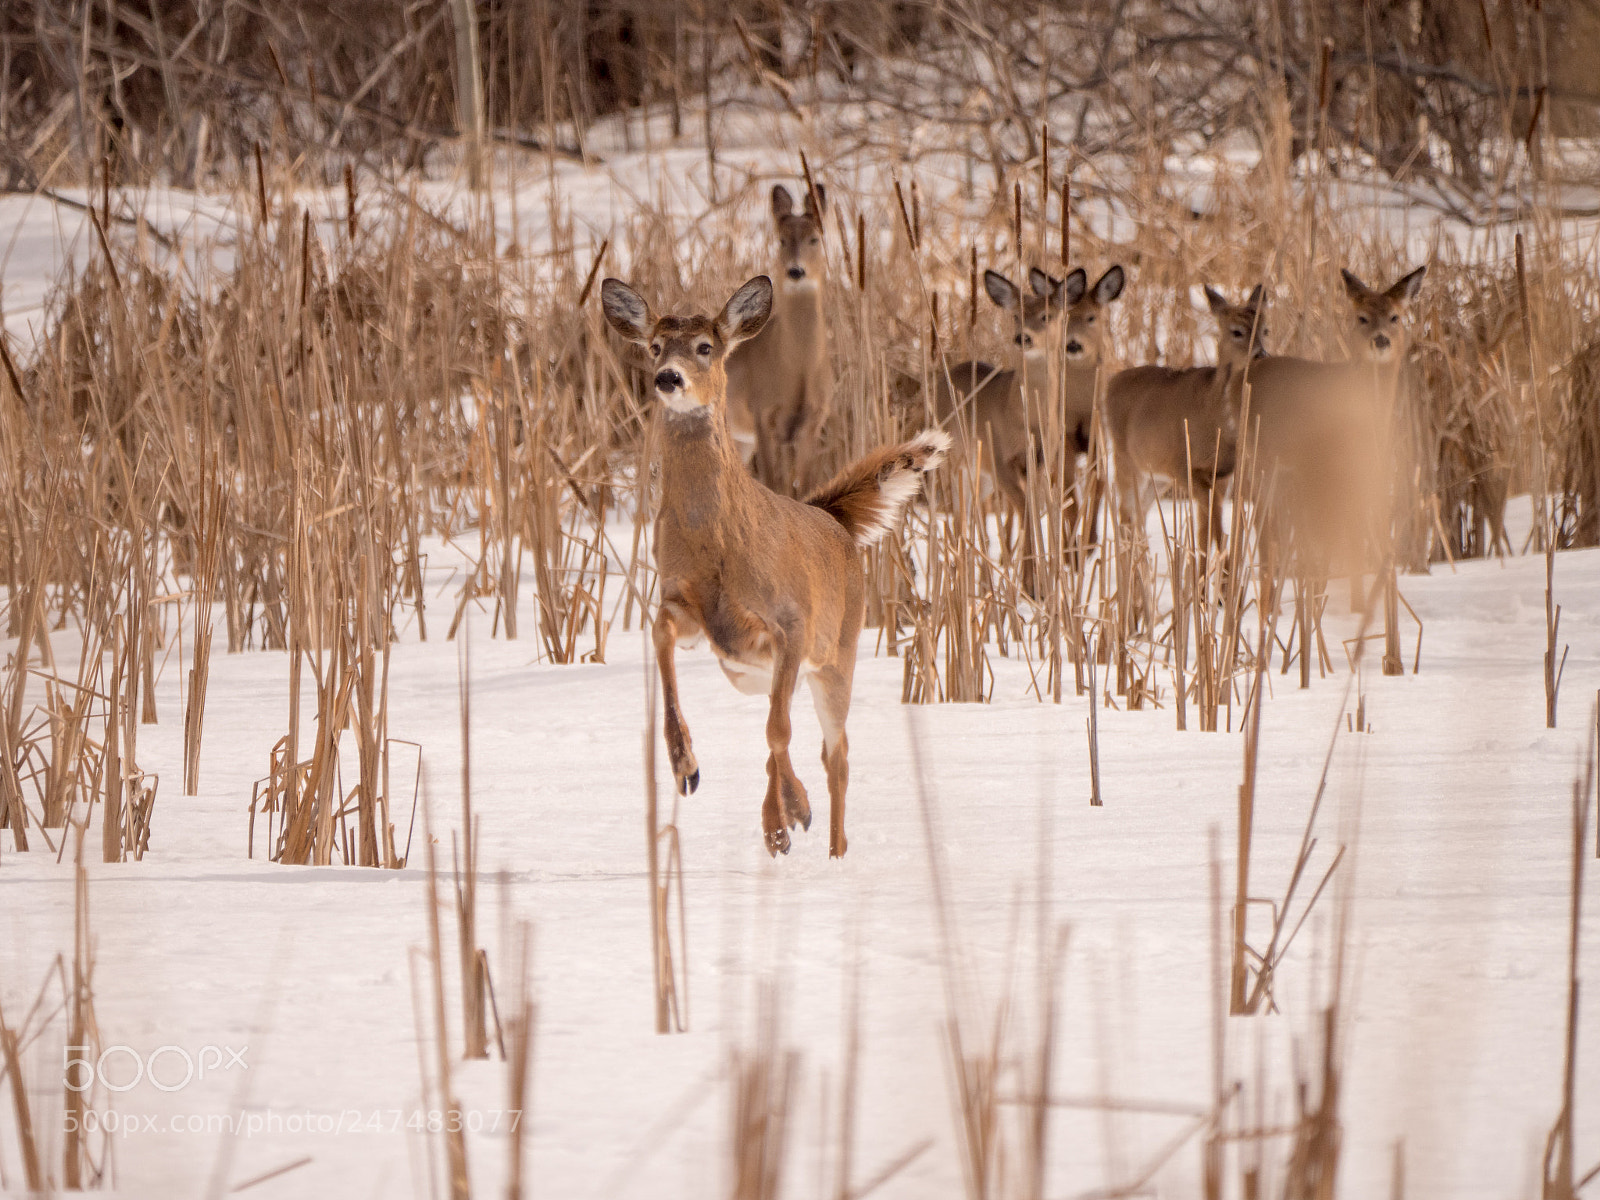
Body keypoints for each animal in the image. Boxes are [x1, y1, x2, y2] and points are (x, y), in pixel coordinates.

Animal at [600, 274, 949, 858]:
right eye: (654, 346)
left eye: (706, 347)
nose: (668, 378)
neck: (718, 544)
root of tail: (831, 516)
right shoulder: (686, 607)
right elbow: (661, 640)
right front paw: (685, 766)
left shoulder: (791, 623)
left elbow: (779, 732)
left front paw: (792, 813)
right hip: (753, 673)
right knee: (795, 732)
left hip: (837, 654)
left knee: (835, 753)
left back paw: (828, 845)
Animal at [725, 183, 832, 495]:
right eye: (782, 240)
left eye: (814, 238)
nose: (796, 271)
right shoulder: (762, 412)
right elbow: (775, 484)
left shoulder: (813, 419)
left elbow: (803, 488)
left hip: (740, 440)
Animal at [933, 263, 1124, 582]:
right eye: (1015, 316)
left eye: (1047, 316)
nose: (1023, 337)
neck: (1020, 415)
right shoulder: (1000, 457)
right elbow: (1028, 511)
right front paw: (1031, 578)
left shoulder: (1045, 459)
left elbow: (1038, 510)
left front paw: (1037, 575)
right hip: (956, 461)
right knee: (962, 516)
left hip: (981, 473)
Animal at [1105, 284, 1268, 551]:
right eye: (1236, 331)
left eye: (1266, 330)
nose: (1261, 354)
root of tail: (1111, 382)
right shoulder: (1184, 467)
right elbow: (1211, 532)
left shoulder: (1222, 475)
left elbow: (1207, 533)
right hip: (1126, 460)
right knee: (1126, 518)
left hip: (1156, 475)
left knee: (1138, 518)